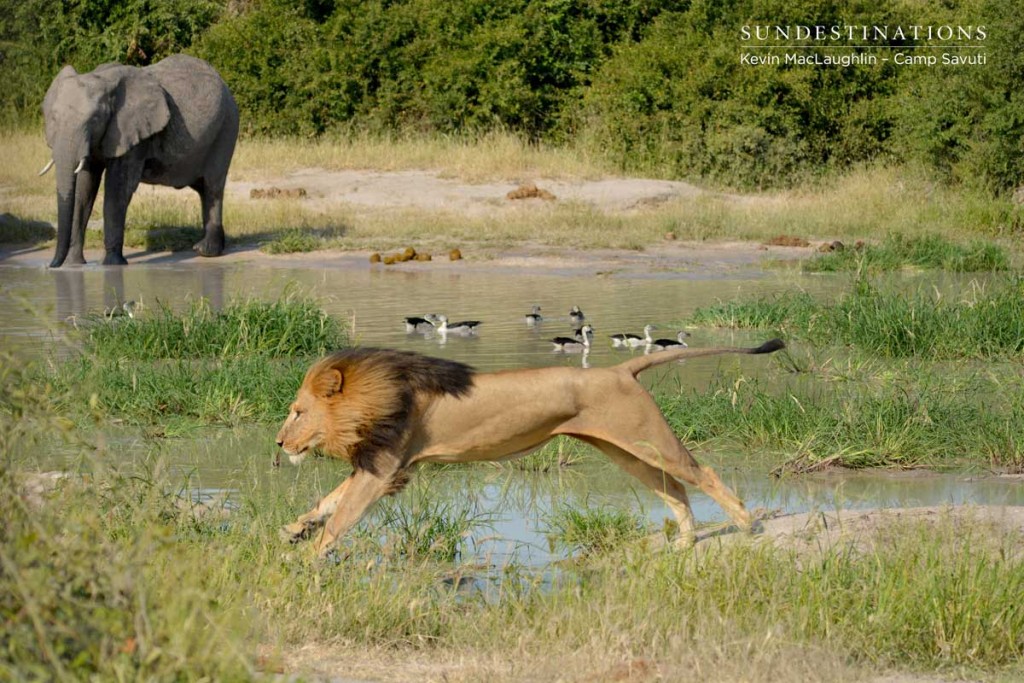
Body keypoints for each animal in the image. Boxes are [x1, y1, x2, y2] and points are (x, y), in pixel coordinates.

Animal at [40, 54, 238, 266]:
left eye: (94, 120)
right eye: (53, 118)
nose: (51, 266)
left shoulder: (130, 134)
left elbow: (117, 188)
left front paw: (112, 264)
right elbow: (84, 189)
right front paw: (74, 264)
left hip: (226, 129)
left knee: (212, 187)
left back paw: (206, 251)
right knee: (202, 187)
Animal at [274, 339, 782, 557]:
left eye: (297, 411)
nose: (279, 442)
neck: (377, 394)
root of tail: (620, 370)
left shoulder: (383, 467)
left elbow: (341, 517)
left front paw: (308, 560)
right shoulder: (380, 465)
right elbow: (328, 501)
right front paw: (294, 531)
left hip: (649, 440)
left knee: (702, 475)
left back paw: (746, 525)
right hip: (626, 450)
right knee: (673, 489)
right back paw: (685, 541)